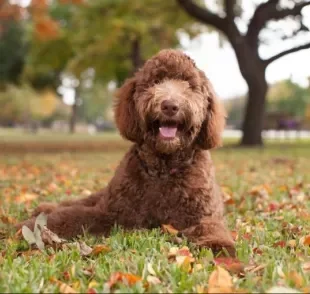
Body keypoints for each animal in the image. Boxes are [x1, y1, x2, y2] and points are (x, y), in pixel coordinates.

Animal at [16, 49, 235, 256]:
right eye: (155, 81)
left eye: (189, 85)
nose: (170, 105)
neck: (163, 169)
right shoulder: (113, 212)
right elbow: (71, 216)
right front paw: (28, 227)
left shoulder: (203, 214)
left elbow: (211, 227)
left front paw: (218, 243)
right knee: (78, 203)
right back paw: (44, 208)